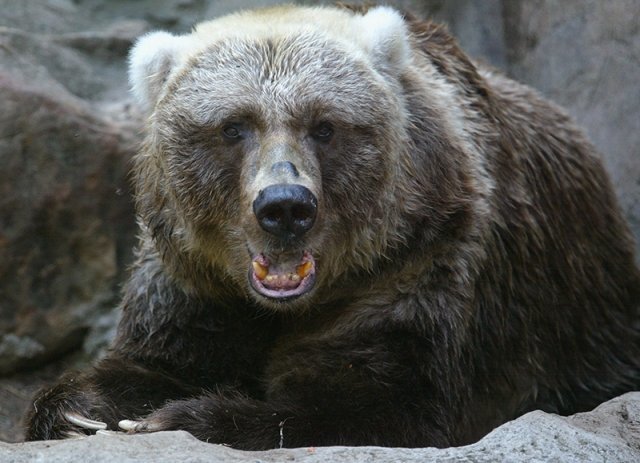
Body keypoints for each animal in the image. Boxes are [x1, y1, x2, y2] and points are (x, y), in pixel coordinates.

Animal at [23, 3, 640, 452]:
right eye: (233, 127)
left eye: (324, 125)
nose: (285, 206)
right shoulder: (194, 282)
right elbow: (156, 358)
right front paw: (85, 412)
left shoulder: (419, 264)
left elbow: (380, 403)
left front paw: (180, 417)